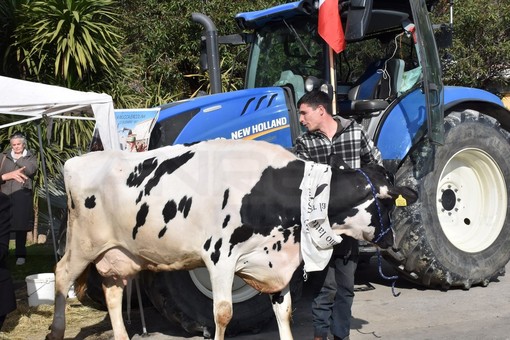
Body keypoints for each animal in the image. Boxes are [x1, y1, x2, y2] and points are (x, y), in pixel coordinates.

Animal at [45, 139, 416, 340]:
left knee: (112, 290)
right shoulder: (219, 258)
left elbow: (285, 312)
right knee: (61, 275)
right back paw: (56, 330)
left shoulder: (277, 261)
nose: (396, 246)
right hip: (82, 244)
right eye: (386, 203)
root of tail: (79, 159)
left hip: (121, 252)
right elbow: (222, 313)